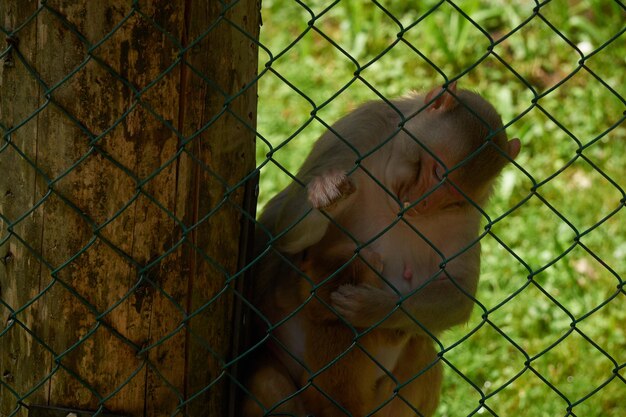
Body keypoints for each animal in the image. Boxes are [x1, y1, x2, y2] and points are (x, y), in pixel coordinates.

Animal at [241, 82, 520, 416]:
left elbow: (458, 293)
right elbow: (284, 234)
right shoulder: (357, 131)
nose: (423, 202)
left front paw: (373, 308)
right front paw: (328, 194)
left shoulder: (469, 209)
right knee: (267, 381)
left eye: (452, 196)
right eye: (436, 171)